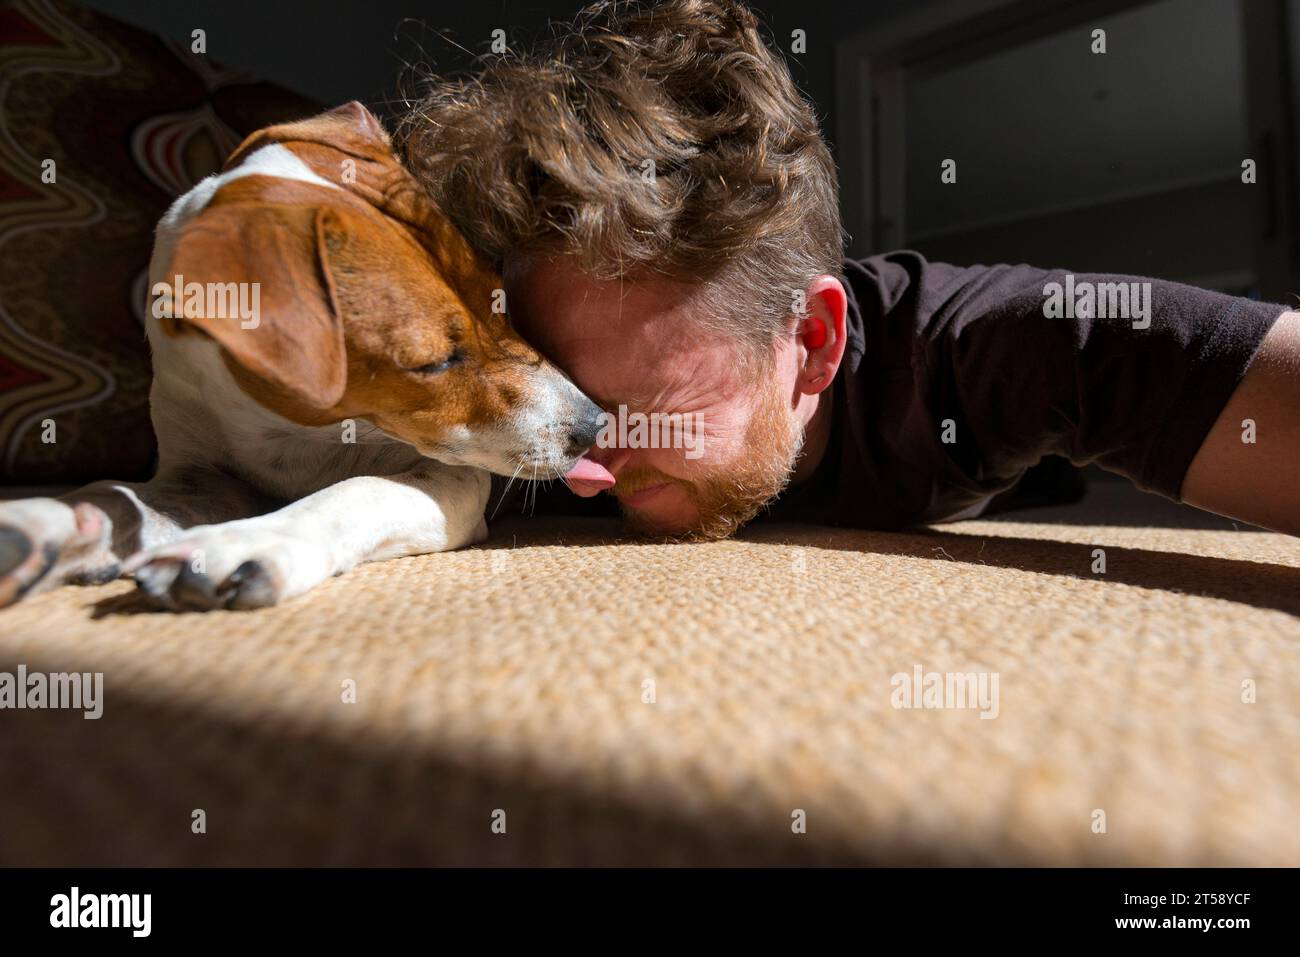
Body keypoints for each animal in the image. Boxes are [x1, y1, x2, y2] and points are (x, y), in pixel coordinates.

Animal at [0, 102, 603, 613]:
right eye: (432, 362)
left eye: (502, 302)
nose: (593, 426)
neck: (291, 426)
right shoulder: (200, 473)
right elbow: (116, 496)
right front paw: (41, 526)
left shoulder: (452, 478)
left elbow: (361, 489)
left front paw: (251, 541)